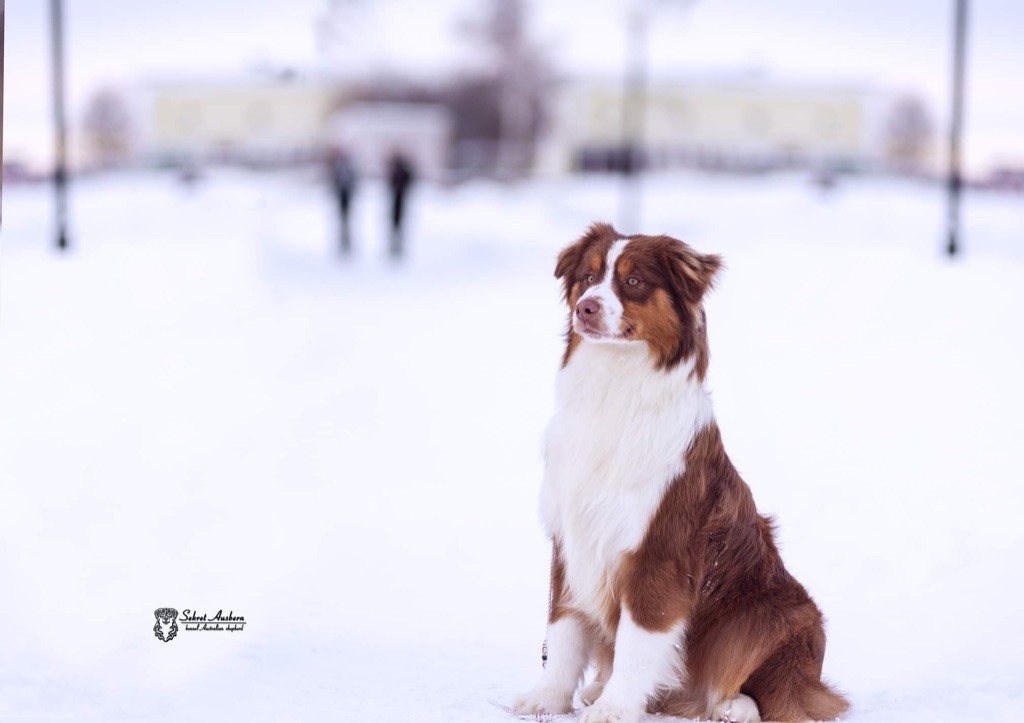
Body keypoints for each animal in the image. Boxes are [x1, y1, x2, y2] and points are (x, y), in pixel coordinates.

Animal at [512, 224, 847, 720]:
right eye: (588, 277)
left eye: (633, 281)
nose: (585, 307)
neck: (615, 387)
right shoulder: (571, 535)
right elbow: (563, 625)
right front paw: (548, 698)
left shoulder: (658, 549)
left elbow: (638, 640)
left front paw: (615, 708)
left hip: (777, 613)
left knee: (777, 688)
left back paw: (733, 706)